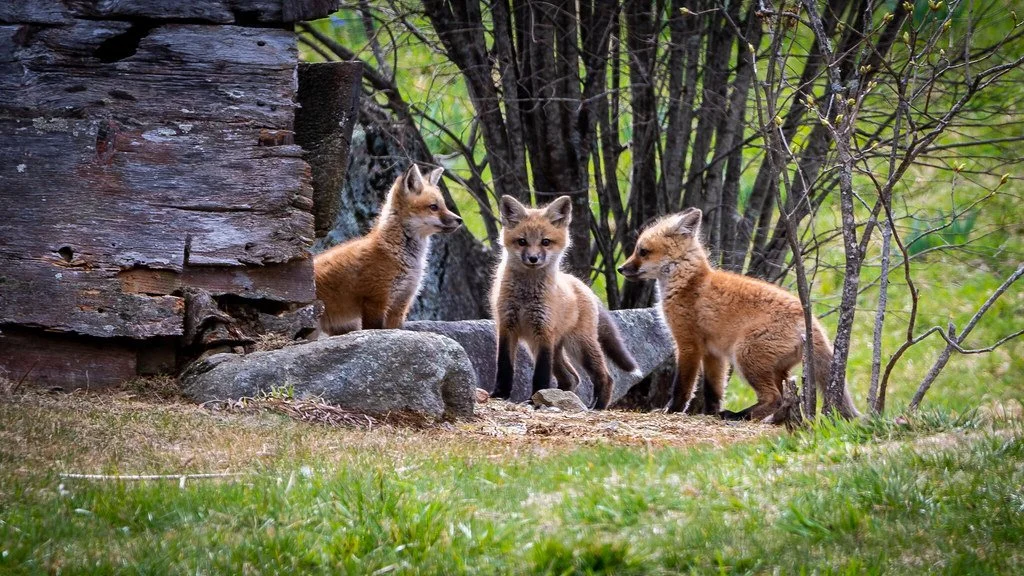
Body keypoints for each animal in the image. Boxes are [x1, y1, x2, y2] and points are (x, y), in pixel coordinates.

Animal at [314, 164, 462, 335]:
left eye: (443, 205)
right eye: (433, 207)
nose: (460, 220)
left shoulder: (401, 304)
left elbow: (395, 330)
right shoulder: (376, 300)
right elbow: (374, 329)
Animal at [490, 195, 640, 409]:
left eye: (545, 242)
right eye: (522, 241)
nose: (533, 258)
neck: (526, 296)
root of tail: (581, 284)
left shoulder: (544, 332)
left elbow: (540, 373)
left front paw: (536, 398)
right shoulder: (506, 327)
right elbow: (504, 367)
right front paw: (500, 394)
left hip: (579, 345)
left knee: (605, 376)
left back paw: (597, 406)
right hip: (546, 347)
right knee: (572, 378)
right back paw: (561, 397)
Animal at [617, 207, 859, 421]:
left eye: (643, 251)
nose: (620, 269)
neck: (688, 282)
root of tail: (811, 322)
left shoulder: (688, 344)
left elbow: (682, 387)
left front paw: (672, 410)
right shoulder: (713, 353)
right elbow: (713, 391)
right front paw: (710, 413)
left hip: (745, 355)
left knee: (774, 398)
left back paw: (739, 415)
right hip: (776, 369)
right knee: (784, 399)